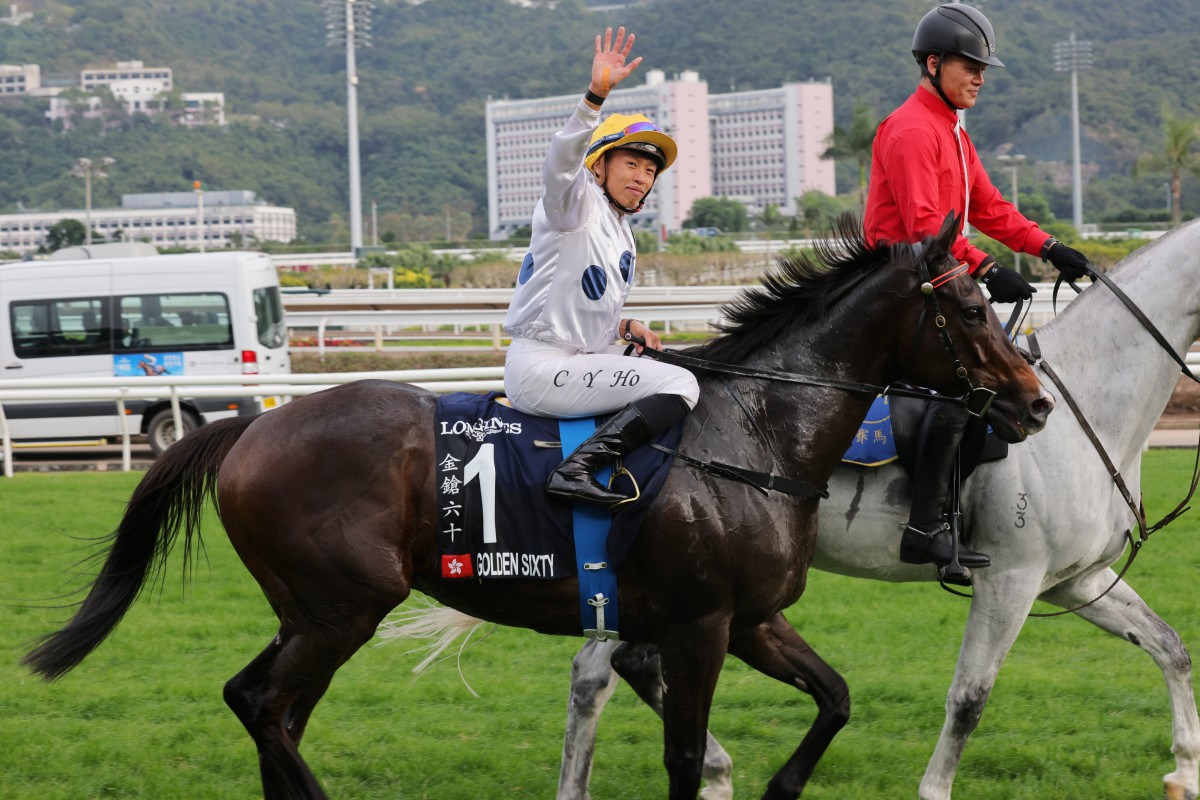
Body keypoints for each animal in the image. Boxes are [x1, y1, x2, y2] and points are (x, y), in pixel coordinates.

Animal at [21, 215, 1051, 796]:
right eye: (969, 312)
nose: (1034, 403)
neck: (752, 433)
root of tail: (248, 432)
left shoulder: (752, 619)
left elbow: (834, 699)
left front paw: (782, 787)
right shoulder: (700, 623)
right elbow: (686, 755)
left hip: (308, 609)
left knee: (256, 701)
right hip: (344, 607)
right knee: (273, 711)